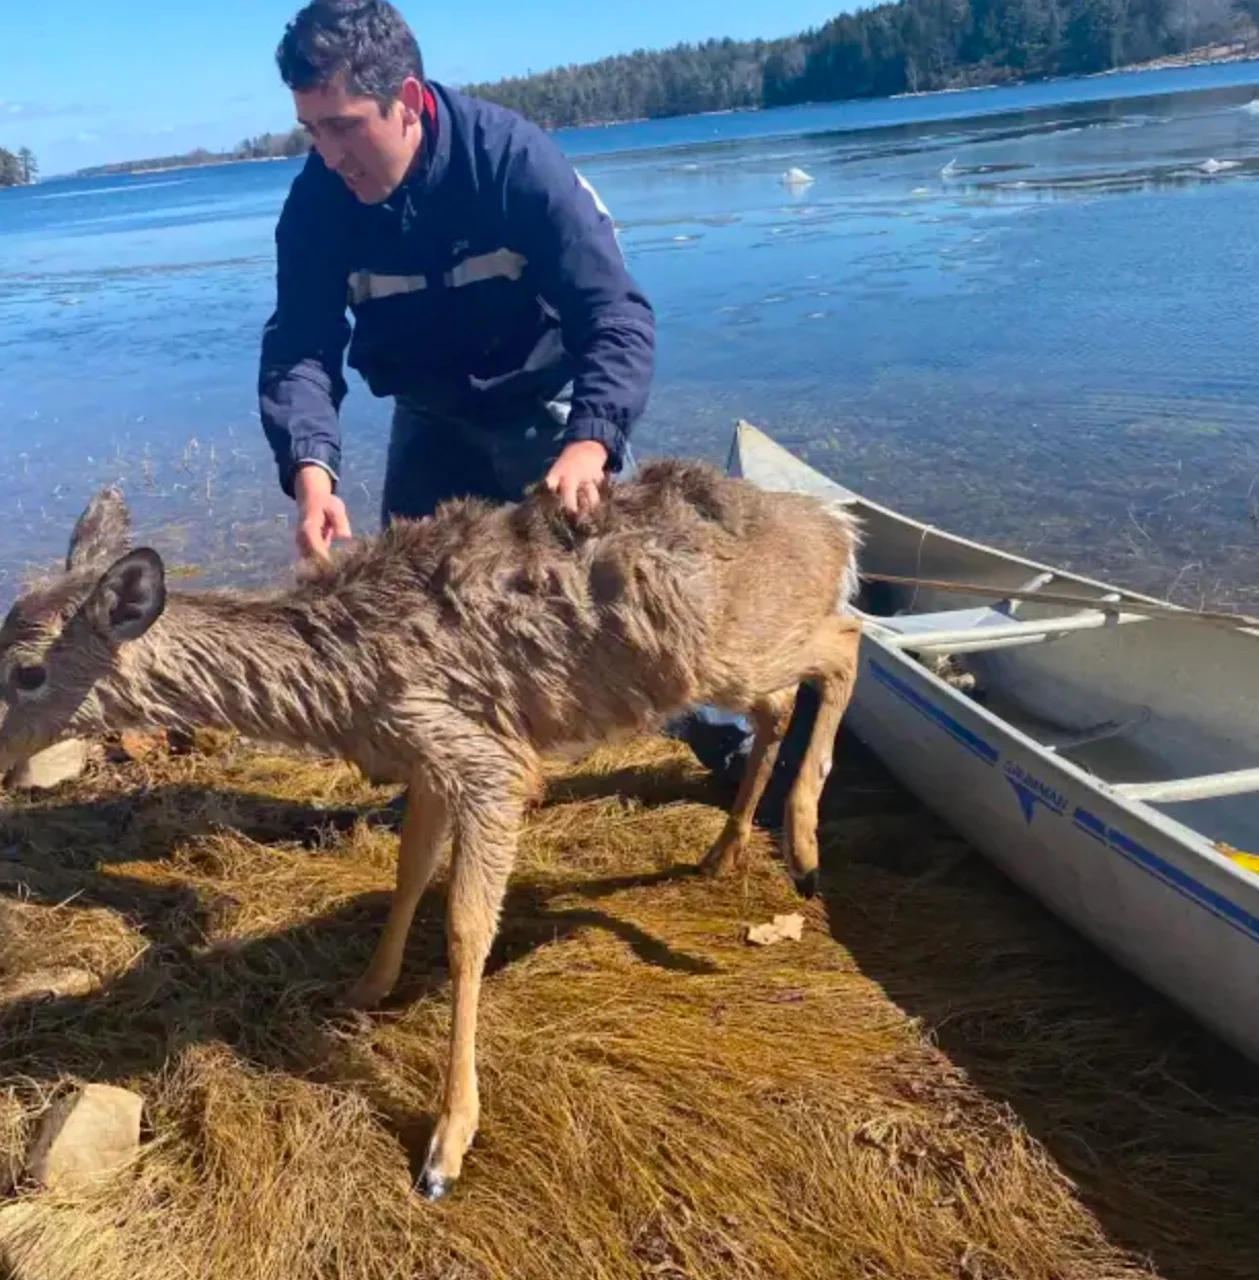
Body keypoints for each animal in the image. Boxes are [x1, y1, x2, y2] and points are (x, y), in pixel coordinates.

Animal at [0, 456, 862, 1199]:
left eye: (27, 672)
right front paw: (364, 989)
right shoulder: (425, 758)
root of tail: (834, 524)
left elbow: (465, 927)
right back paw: (726, 852)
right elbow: (410, 870)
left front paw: (447, 1144)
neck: (344, 678)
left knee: (842, 642)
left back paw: (804, 847)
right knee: (777, 703)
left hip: (735, 647)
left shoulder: (486, 759)